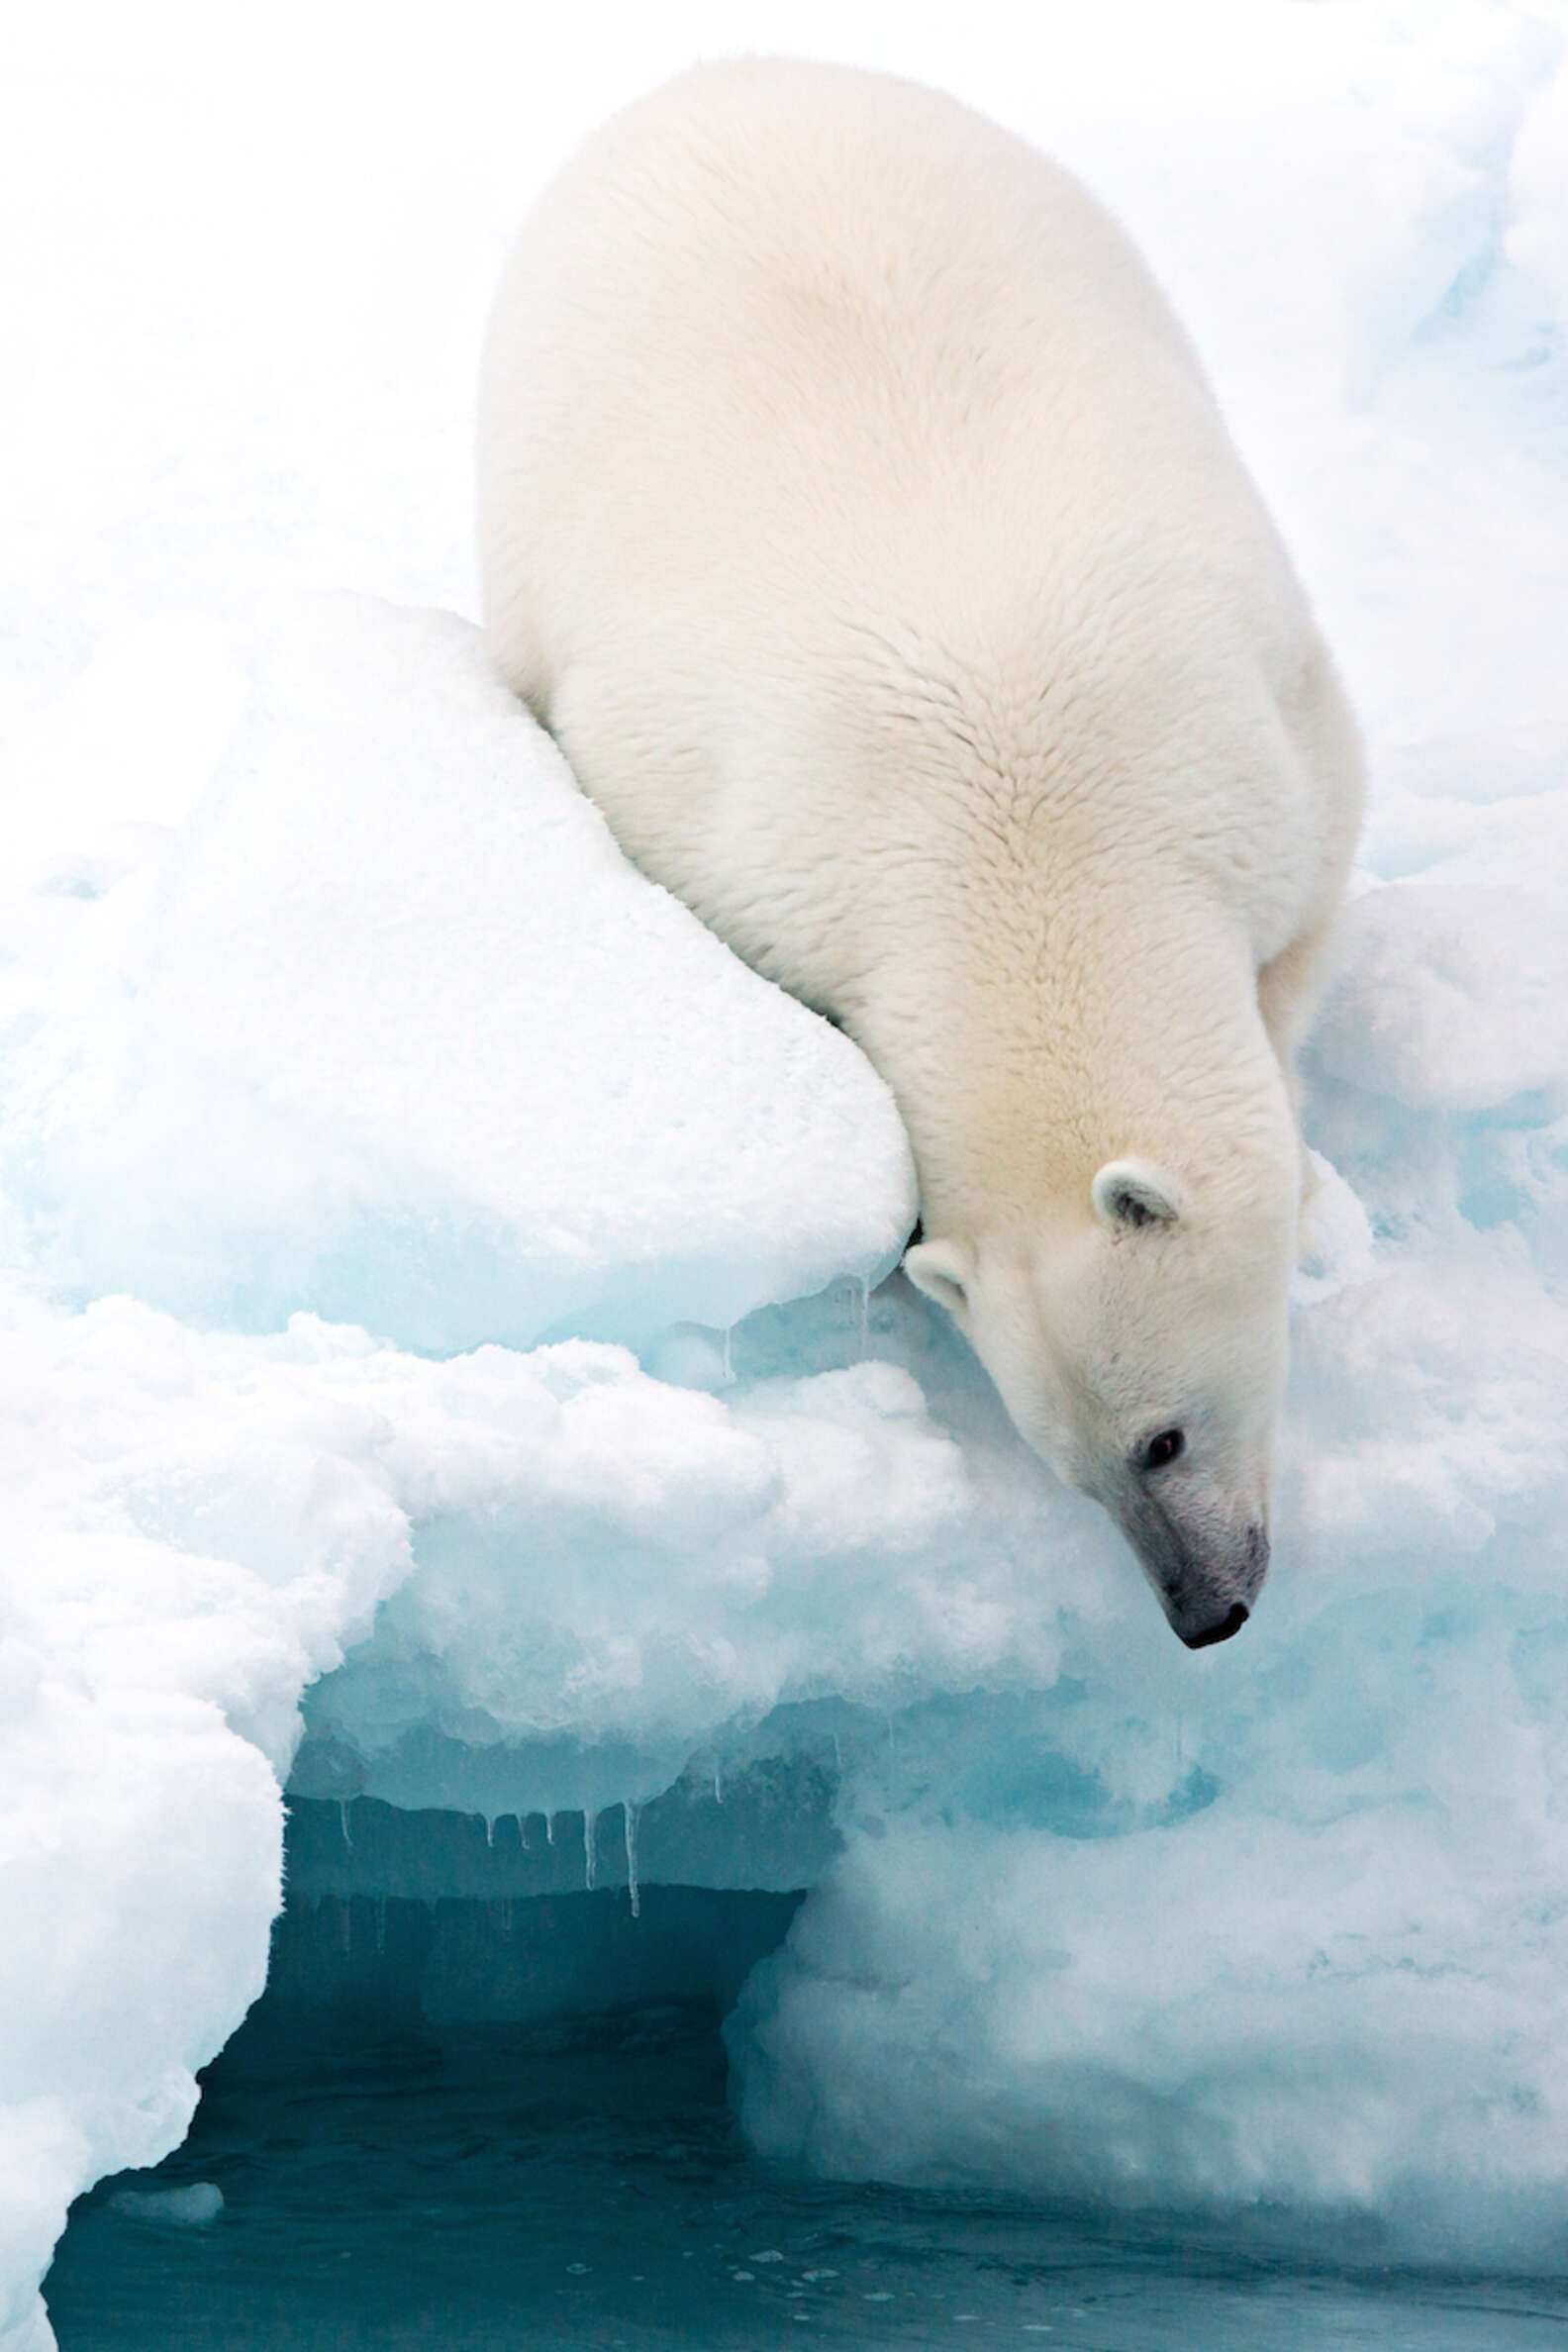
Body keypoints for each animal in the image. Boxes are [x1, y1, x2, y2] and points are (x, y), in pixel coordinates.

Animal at [474, 50, 1363, 1636]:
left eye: (1160, 1437)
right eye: (1074, 1470)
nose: (1205, 1613)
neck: (1028, 832)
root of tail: (726, 71)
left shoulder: (1253, 733)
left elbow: (1307, 916)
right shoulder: (748, 855)